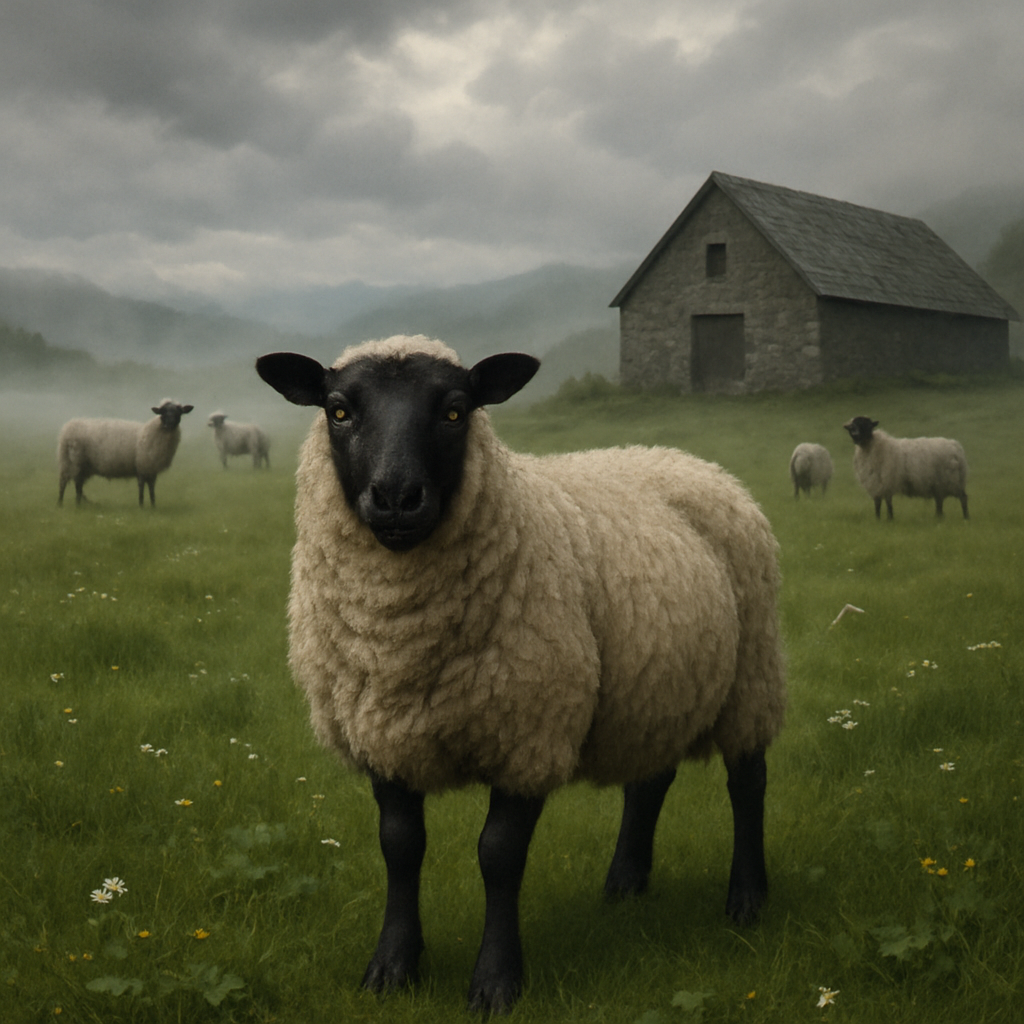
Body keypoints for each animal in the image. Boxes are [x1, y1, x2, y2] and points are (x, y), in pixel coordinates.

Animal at [57, 399, 193, 507]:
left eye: (179, 412)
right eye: (163, 412)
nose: (169, 424)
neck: (152, 432)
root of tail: (68, 427)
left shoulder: (151, 468)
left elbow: (152, 489)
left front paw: (153, 506)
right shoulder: (141, 467)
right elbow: (141, 488)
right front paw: (141, 506)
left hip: (82, 466)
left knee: (78, 485)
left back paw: (78, 504)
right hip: (71, 461)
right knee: (64, 483)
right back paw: (62, 504)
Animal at [255, 335, 786, 1013]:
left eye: (456, 410)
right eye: (339, 410)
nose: (397, 496)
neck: (400, 640)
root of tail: (687, 460)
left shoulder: (529, 728)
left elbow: (499, 856)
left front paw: (495, 982)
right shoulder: (382, 733)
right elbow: (400, 847)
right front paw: (392, 967)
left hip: (752, 671)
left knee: (747, 782)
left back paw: (746, 898)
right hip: (651, 683)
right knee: (649, 779)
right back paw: (624, 882)